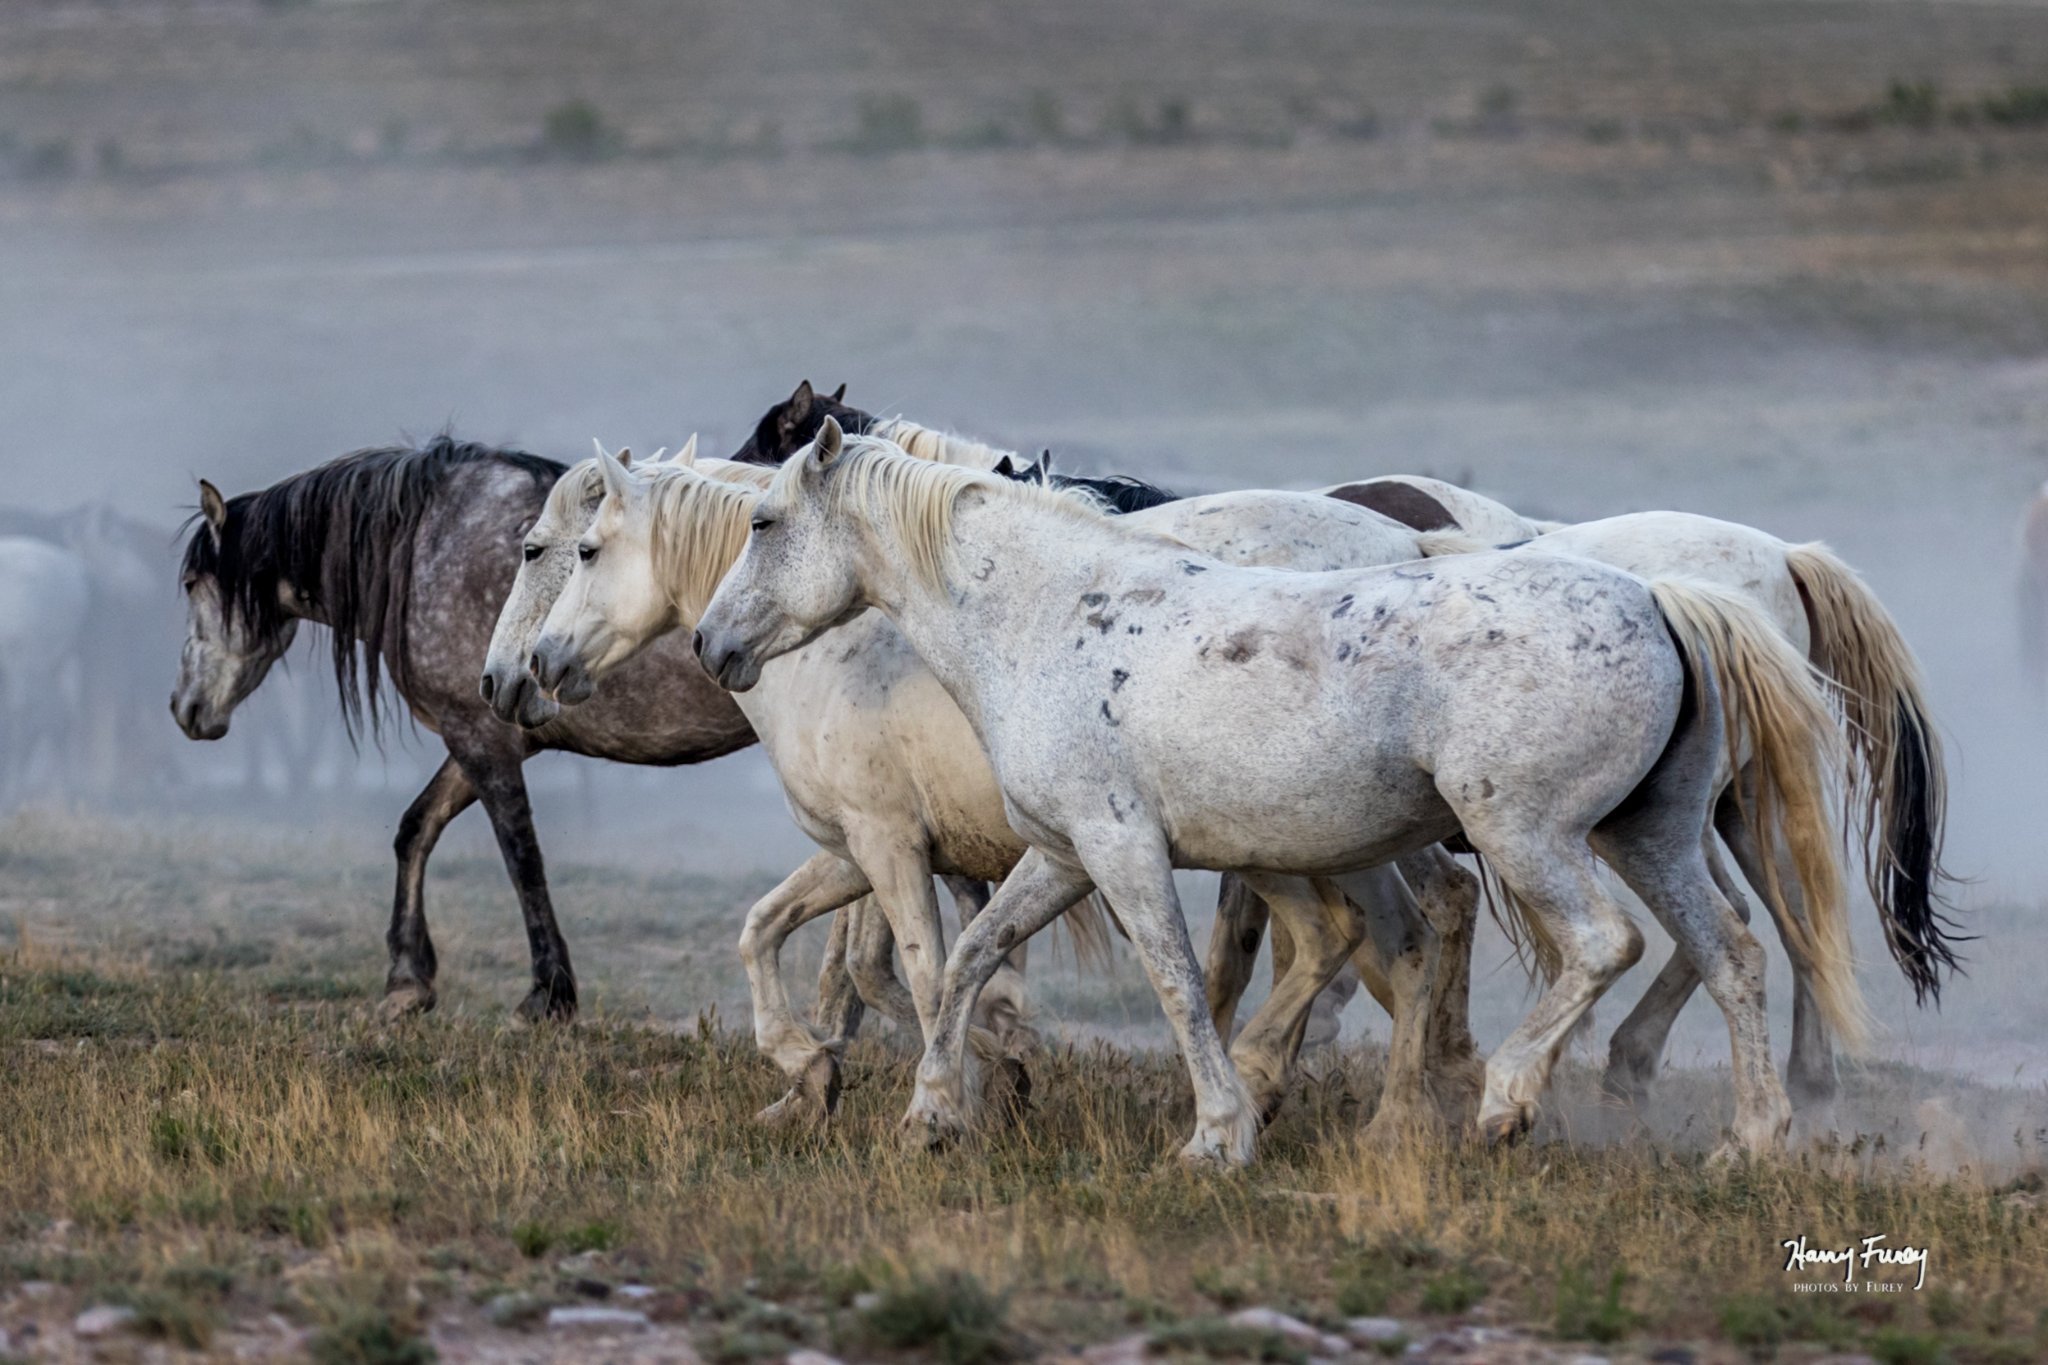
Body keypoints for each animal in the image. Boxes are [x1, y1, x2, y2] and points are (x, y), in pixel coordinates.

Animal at [172, 436, 760, 1021]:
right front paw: (408, 981)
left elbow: (521, 856)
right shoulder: (479, 733)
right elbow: (416, 829)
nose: (184, 706)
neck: (426, 546)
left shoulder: (479, 739)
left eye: (190, 583)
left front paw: (549, 992)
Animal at [693, 420, 1857, 1166]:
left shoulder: (1122, 850)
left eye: (763, 523)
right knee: (1731, 951)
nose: (710, 644)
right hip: (1646, 834)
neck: (1052, 615)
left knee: (1604, 945)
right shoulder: (1063, 853)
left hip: (1528, 833)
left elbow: (1173, 981)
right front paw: (932, 1114)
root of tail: (1659, 600)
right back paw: (1751, 1141)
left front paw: (1216, 1134)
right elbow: (970, 962)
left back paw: (1503, 1103)